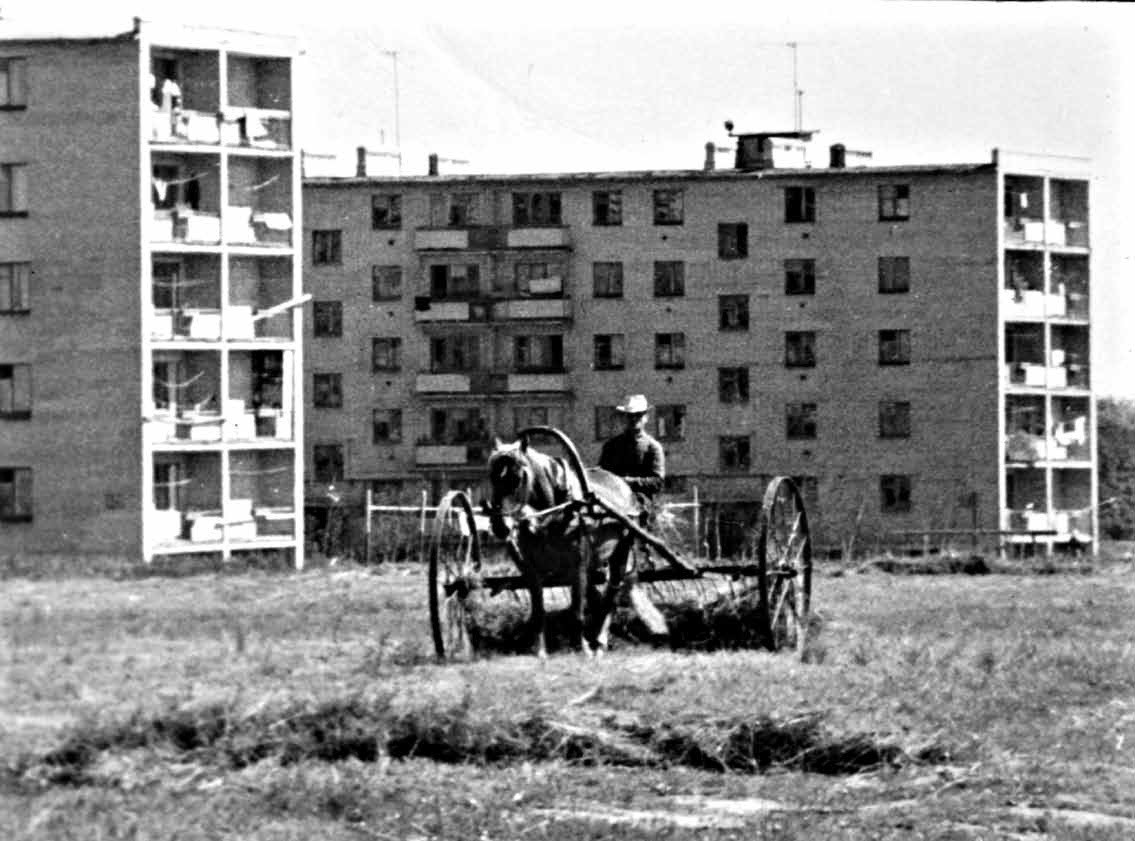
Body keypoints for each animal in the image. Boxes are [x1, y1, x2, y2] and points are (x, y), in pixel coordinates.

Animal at [485, 435, 644, 658]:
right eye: (492, 477)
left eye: (518, 478)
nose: (501, 526)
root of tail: (624, 486)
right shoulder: (532, 570)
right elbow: (538, 612)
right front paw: (540, 651)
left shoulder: (577, 568)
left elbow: (577, 611)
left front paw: (583, 649)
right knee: (598, 595)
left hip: (621, 550)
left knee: (612, 591)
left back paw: (600, 641)